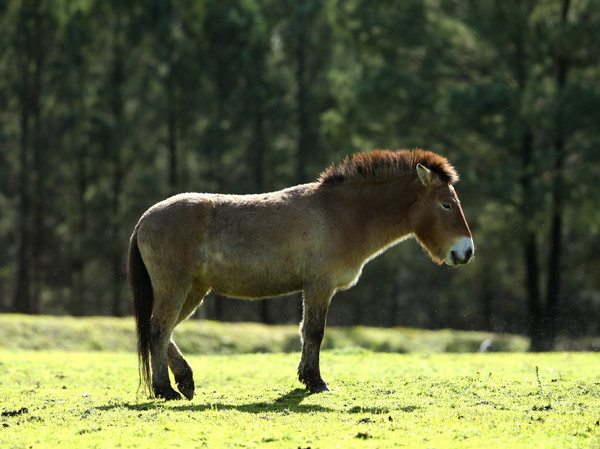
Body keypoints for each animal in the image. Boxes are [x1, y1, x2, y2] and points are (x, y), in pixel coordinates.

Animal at [126, 148, 474, 400]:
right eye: (446, 204)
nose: (466, 251)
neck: (344, 214)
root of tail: (145, 218)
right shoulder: (320, 285)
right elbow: (314, 331)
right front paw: (315, 381)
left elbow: (308, 332)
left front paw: (308, 378)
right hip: (176, 287)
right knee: (158, 330)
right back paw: (165, 389)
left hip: (193, 290)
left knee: (162, 331)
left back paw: (184, 381)